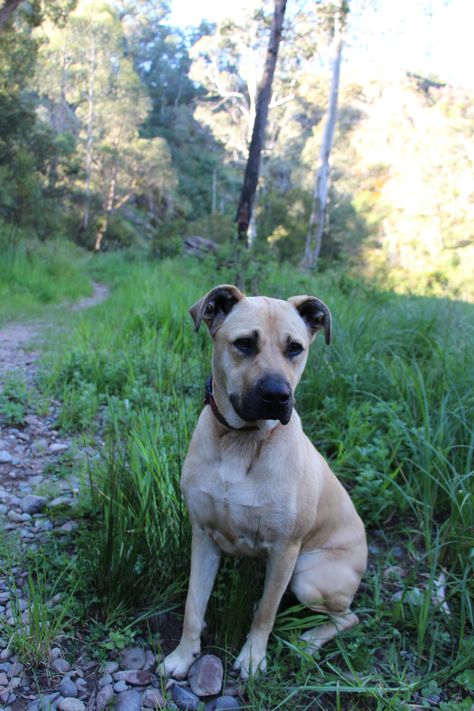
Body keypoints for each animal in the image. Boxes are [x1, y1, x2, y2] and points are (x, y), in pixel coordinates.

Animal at [161, 284, 368, 680]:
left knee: (349, 617)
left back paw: (308, 641)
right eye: (244, 343)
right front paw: (183, 656)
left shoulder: (285, 551)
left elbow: (266, 613)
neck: (242, 440)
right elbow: (194, 605)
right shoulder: (203, 537)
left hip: (307, 576)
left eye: (295, 348)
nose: (277, 395)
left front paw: (253, 659)